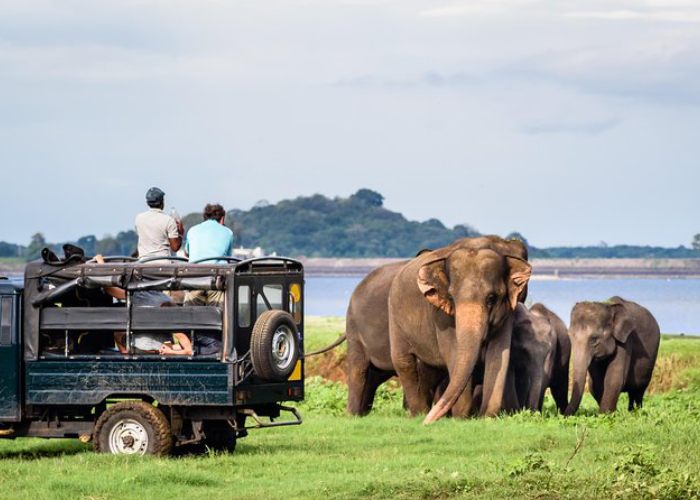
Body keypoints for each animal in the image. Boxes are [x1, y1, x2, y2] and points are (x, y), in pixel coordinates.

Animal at [345, 236, 528, 418]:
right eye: (452, 298)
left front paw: (486, 417)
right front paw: (460, 418)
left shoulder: (507, 312)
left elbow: (499, 354)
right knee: (388, 363)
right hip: (379, 320)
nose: (429, 420)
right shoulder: (441, 315)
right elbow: (453, 353)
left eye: (491, 298)